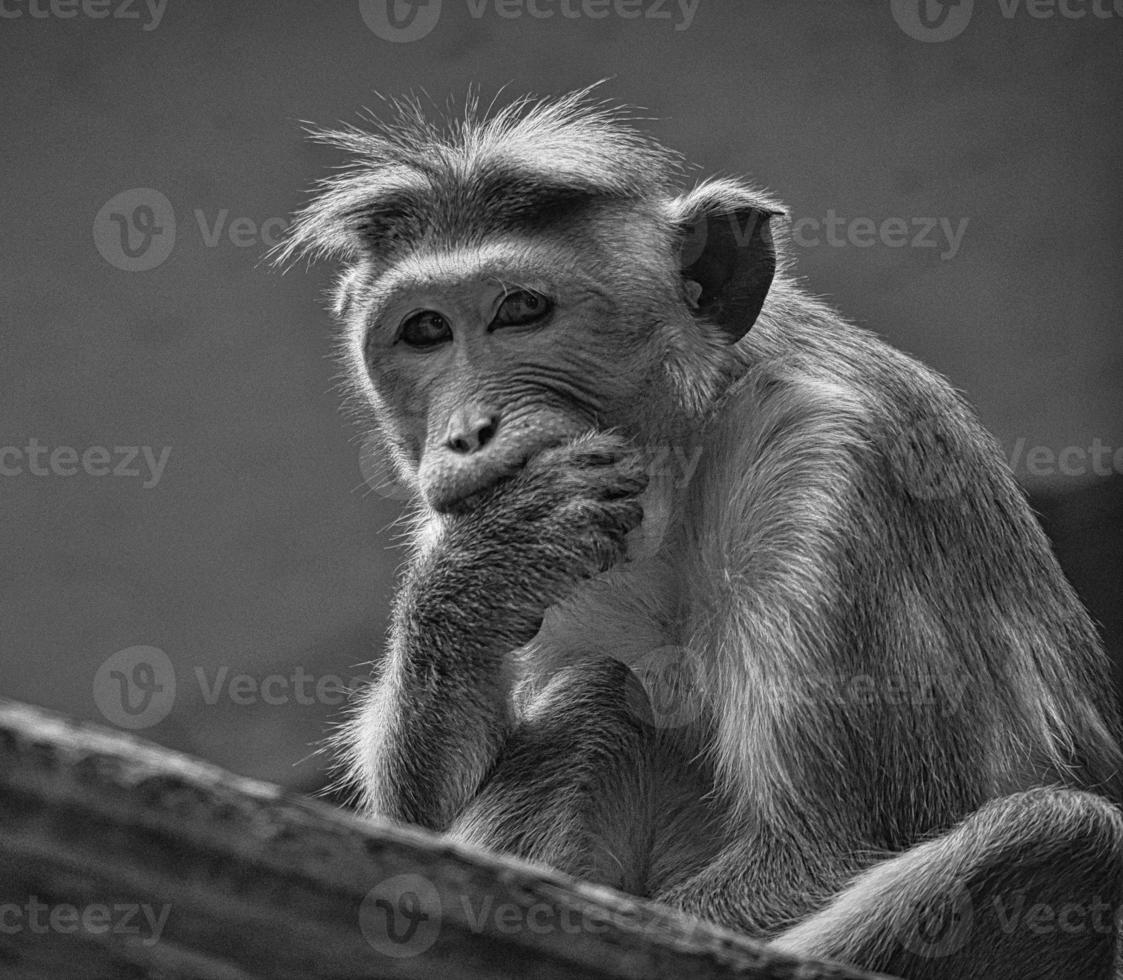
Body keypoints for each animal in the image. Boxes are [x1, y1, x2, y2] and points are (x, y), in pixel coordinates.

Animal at [274, 88, 1123, 974]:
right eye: (426, 331)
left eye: (521, 310)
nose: (468, 434)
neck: (683, 460)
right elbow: (412, 836)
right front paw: (484, 569)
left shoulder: (830, 461)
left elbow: (823, 853)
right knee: (597, 696)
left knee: (1062, 834)